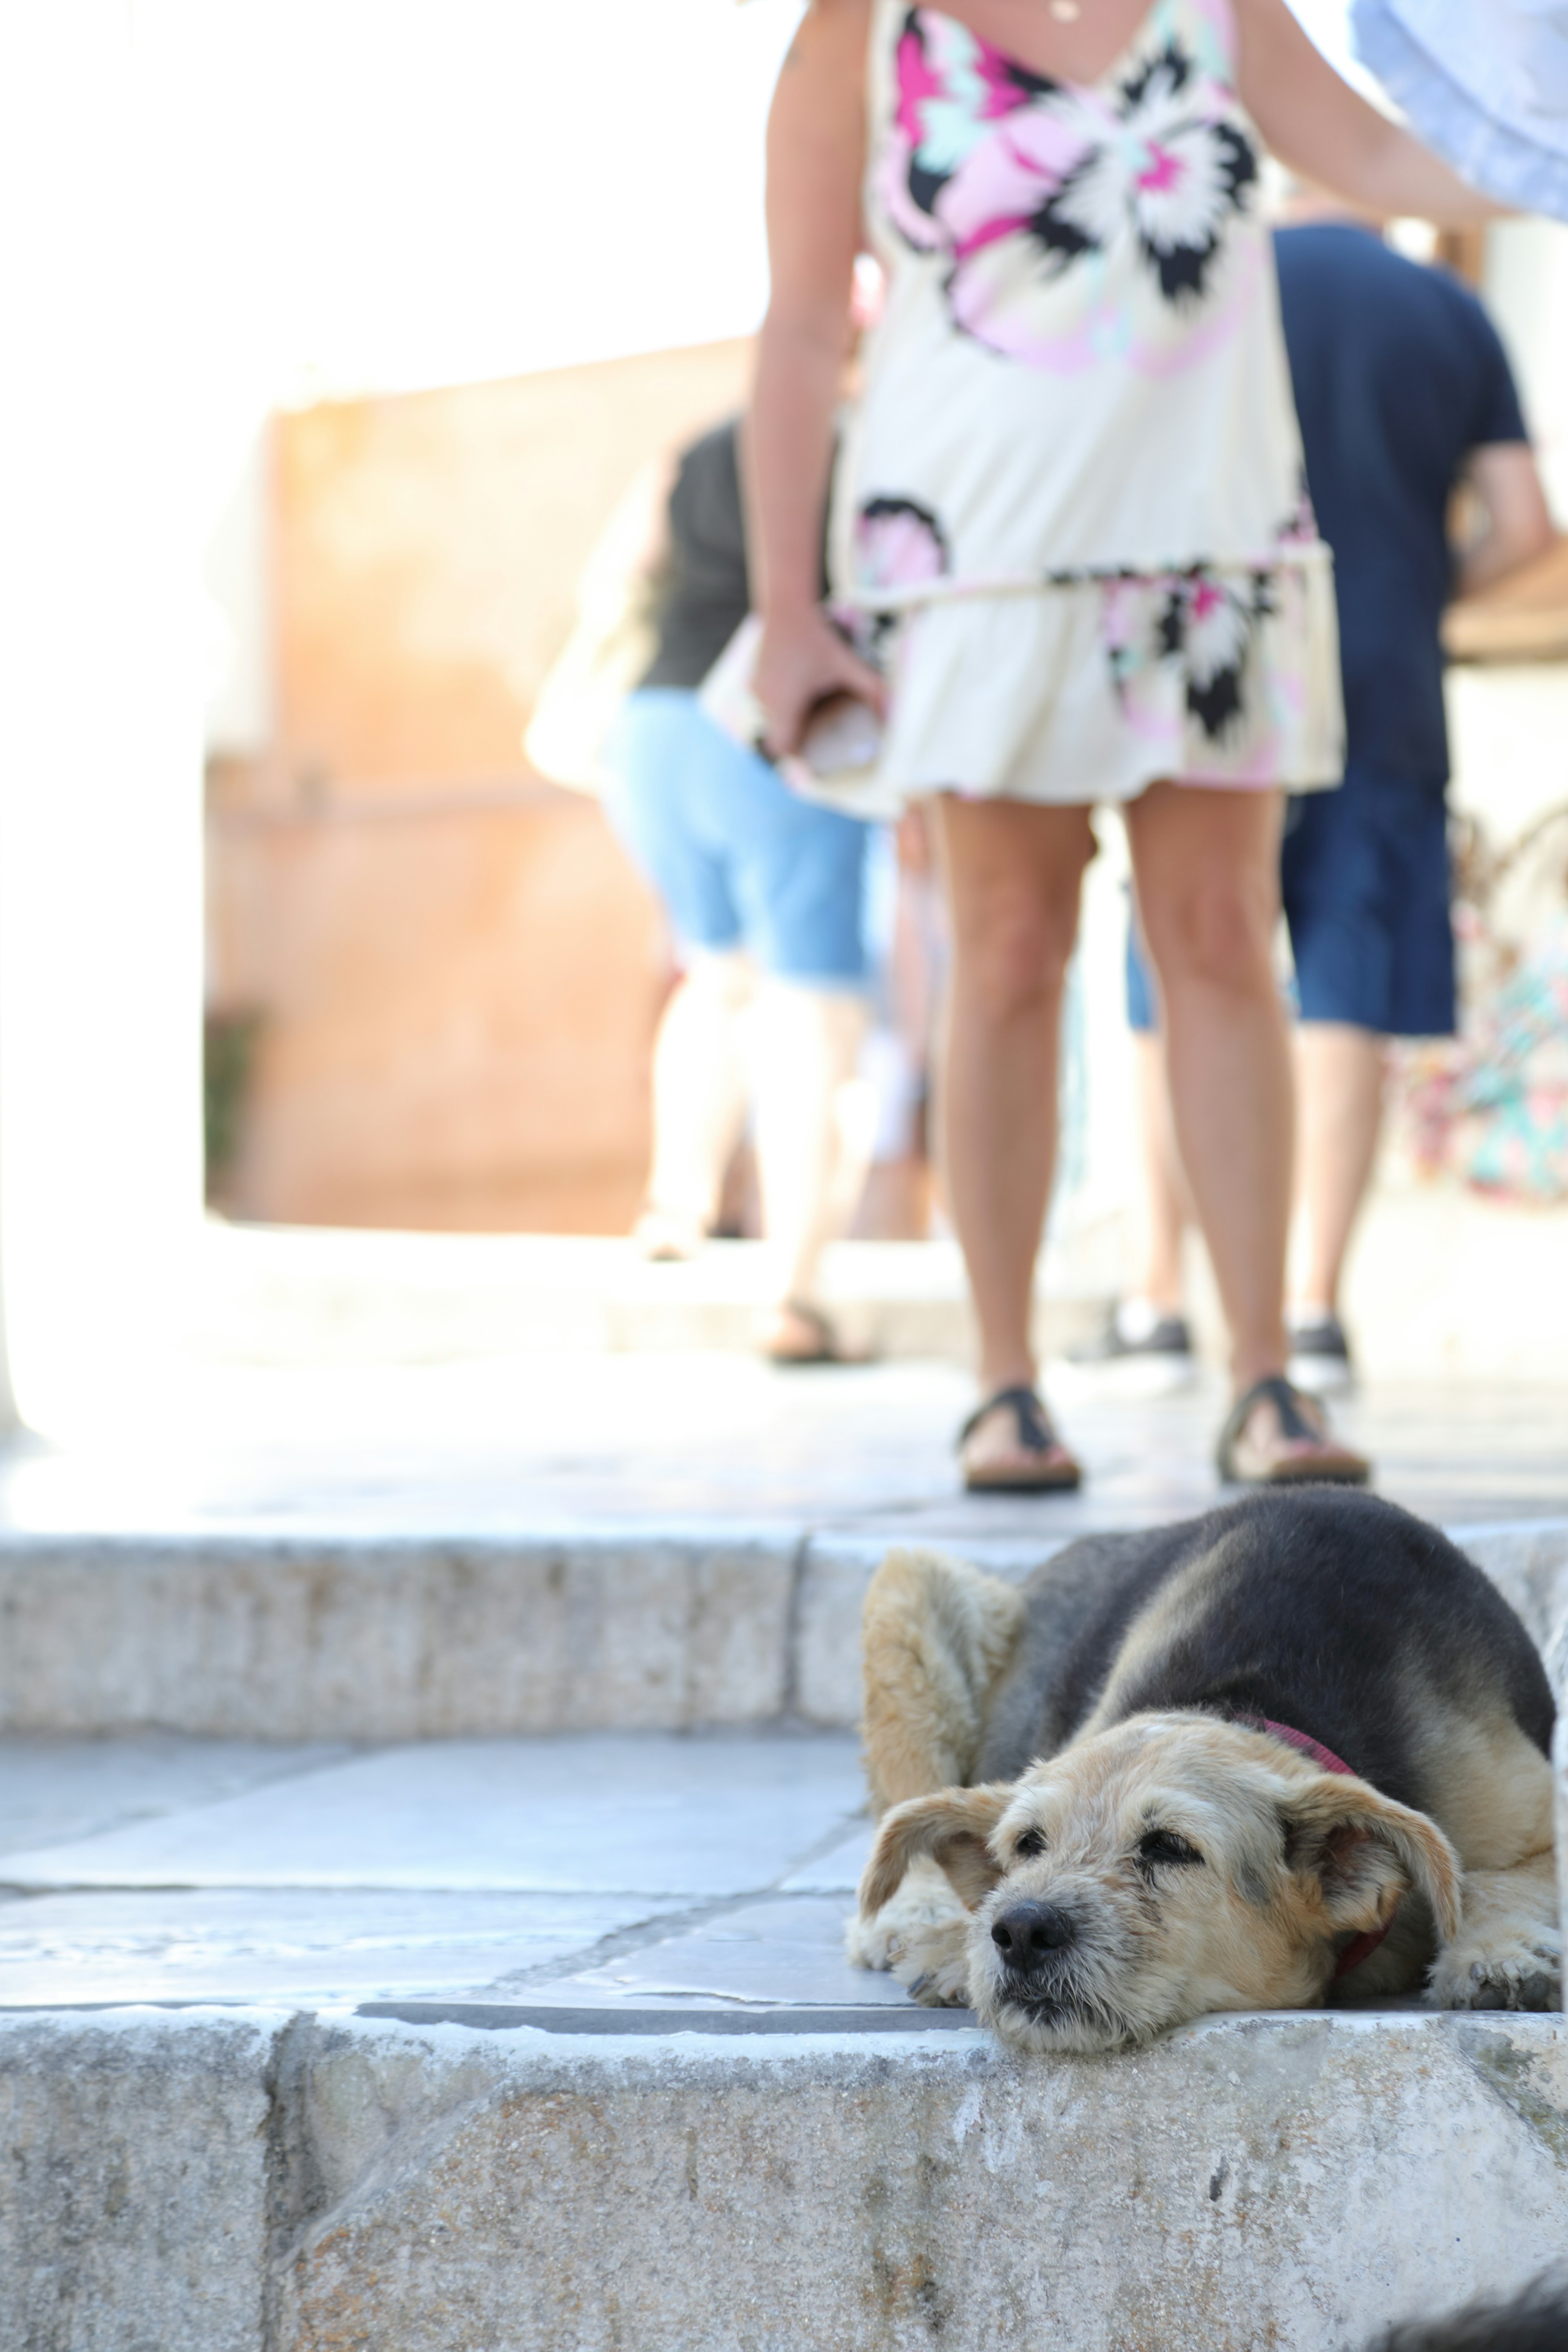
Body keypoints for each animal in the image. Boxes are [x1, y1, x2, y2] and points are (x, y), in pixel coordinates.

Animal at [851, 1496, 1561, 2051]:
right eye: (1028, 1844)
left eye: (1171, 1847)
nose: (1020, 1931)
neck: (1257, 1707)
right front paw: (955, 1943)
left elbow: (1495, 1881)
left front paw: (1499, 1956)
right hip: (907, 1590)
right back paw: (916, 1918)